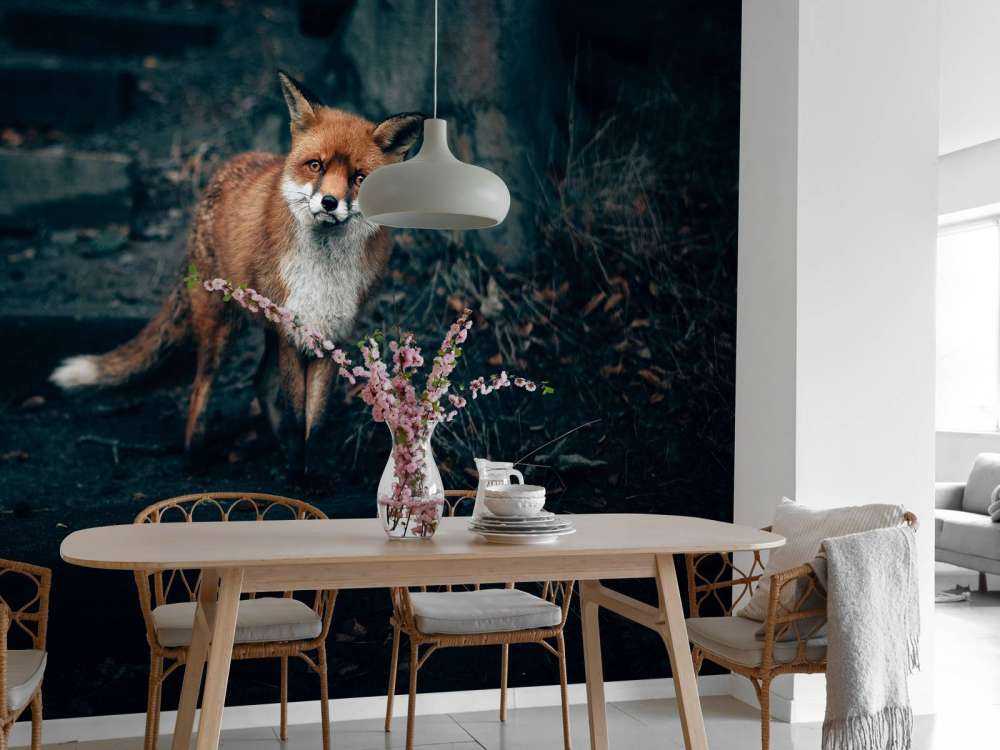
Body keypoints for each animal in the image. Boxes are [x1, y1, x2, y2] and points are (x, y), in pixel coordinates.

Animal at [50, 71, 424, 475]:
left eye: (358, 177)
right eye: (316, 166)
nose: (329, 202)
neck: (323, 270)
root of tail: (225, 169)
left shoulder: (328, 336)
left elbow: (315, 422)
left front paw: (310, 473)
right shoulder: (291, 335)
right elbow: (296, 418)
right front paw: (296, 475)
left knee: (259, 382)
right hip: (221, 327)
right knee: (201, 387)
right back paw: (193, 456)